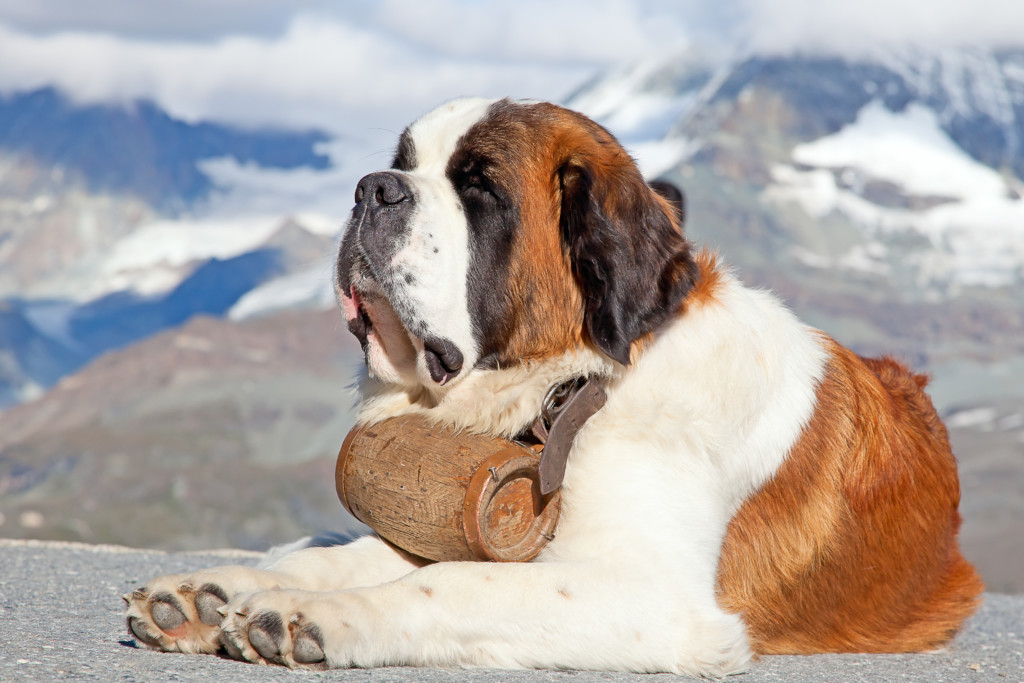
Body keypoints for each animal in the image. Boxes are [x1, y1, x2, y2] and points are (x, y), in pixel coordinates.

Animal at [128, 98, 983, 675]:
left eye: (479, 188)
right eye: (401, 160)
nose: (372, 188)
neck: (574, 386)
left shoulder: (651, 595)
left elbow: (454, 582)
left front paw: (315, 615)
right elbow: (363, 552)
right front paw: (215, 592)